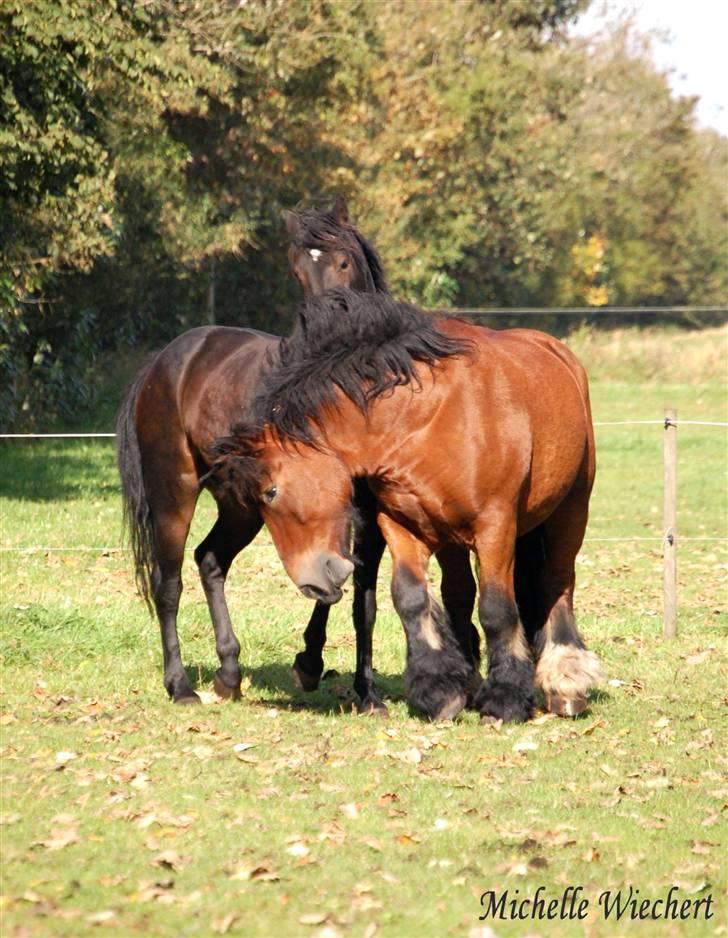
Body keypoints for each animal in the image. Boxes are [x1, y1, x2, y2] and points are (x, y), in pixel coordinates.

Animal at [209, 288, 604, 720]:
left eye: (271, 492)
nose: (311, 582)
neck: (426, 420)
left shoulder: (495, 527)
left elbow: (497, 608)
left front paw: (505, 699)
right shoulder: (401, 524)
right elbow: (410, 598)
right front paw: (439, 690)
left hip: (571, 509)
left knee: (558, 581)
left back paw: (566, 682)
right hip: (450, 534)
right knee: (458, 593)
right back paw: (469, 679)